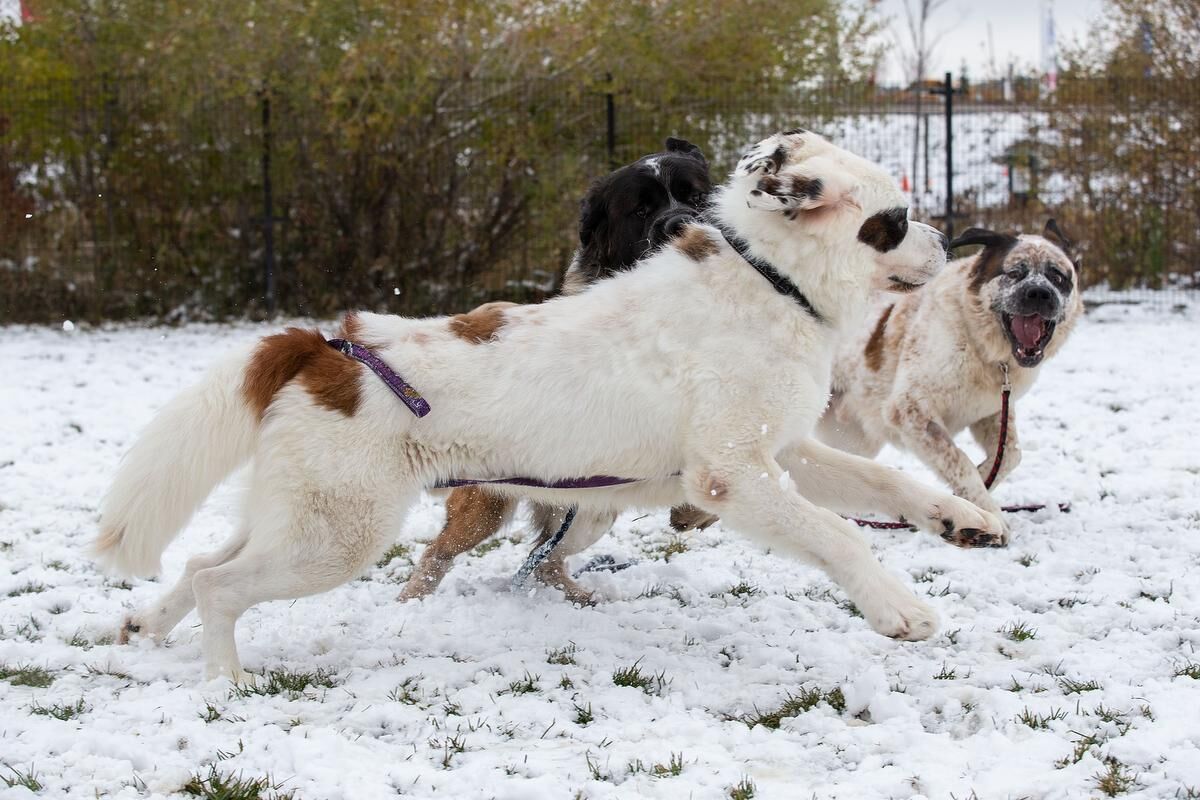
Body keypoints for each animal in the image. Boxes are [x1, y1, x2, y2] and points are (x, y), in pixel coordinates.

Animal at [98, 131, 1008, 681]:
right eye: (892, 221)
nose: (946, 241)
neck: (770, 280)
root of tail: (329, 346)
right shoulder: (732, 477)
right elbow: (839, 538)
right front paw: (900, 610)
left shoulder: (783, 452)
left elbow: (886, 485)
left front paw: (966, 519)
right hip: (336, 538)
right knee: (223, 587)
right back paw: (227, 684)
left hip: (300, 515)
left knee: (200, 565)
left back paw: (148, 628)